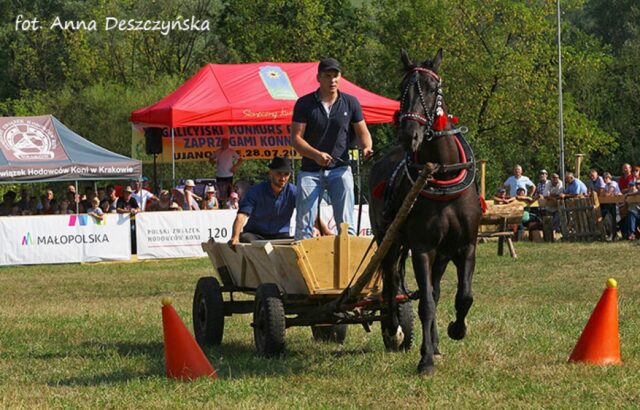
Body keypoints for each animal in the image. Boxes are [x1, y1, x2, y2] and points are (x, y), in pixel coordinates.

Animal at [370, 48, 480, 374]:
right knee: (391, 284)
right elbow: (426, 304)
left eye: (433, 89)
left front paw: (456, 330)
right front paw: (426, 359)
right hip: (389, 242)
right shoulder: (421, 248)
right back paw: (394, 329)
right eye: (401, 90)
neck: (444, 173)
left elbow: (463, 297)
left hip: (441, 255)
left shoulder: (465, 247)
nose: (410, 135)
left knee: (435, 289)